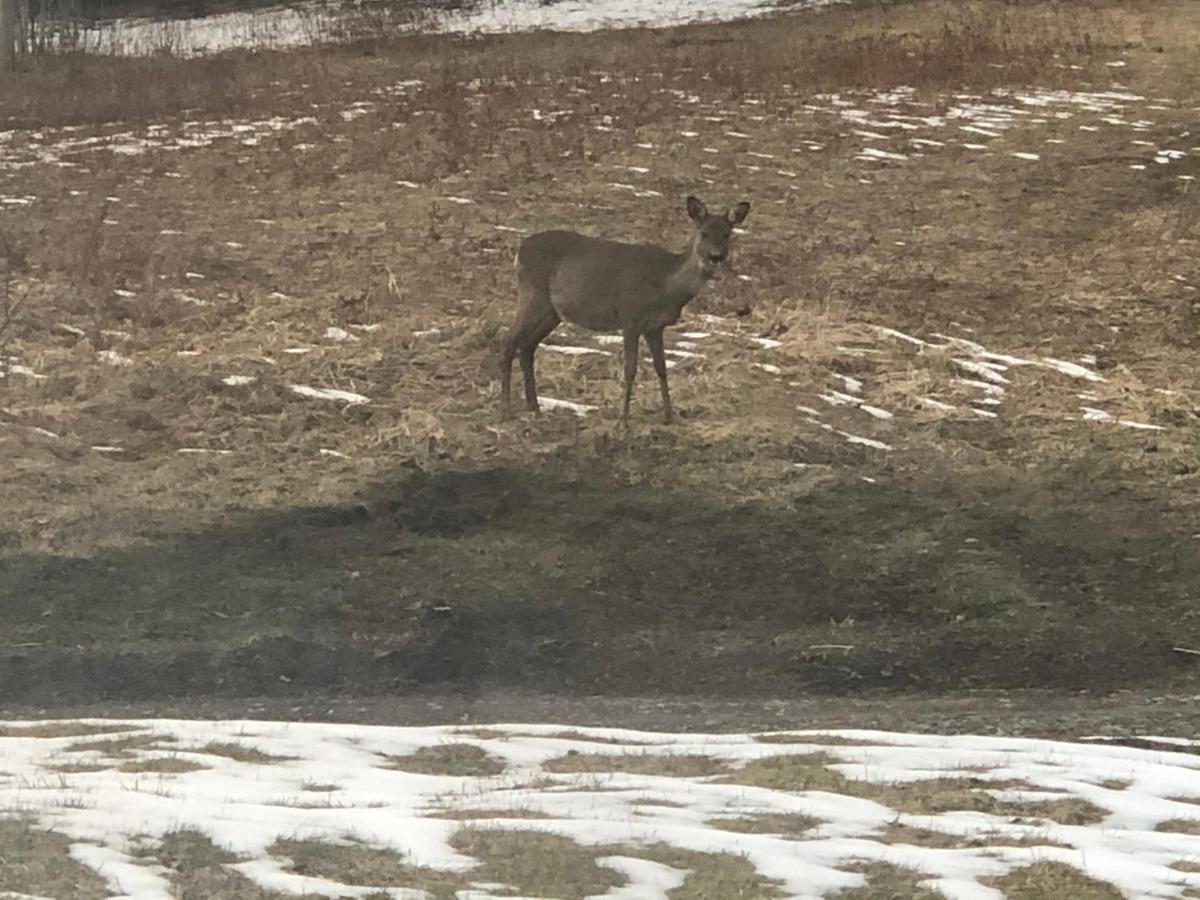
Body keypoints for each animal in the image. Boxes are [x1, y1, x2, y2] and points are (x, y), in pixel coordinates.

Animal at [499, 194, 748, 427]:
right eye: (704, 233)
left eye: (727, 234)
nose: (715, 256)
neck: (666, 285)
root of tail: (519, 251)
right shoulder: (630, 317)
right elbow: (630, 369)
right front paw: (623, 421)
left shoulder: (655, 327)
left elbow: (662, 367)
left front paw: (669, 416)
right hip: (534, 296)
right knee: (509, 341)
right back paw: (506, 410)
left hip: (552, 312)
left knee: (528, 346)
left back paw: (535, 408)